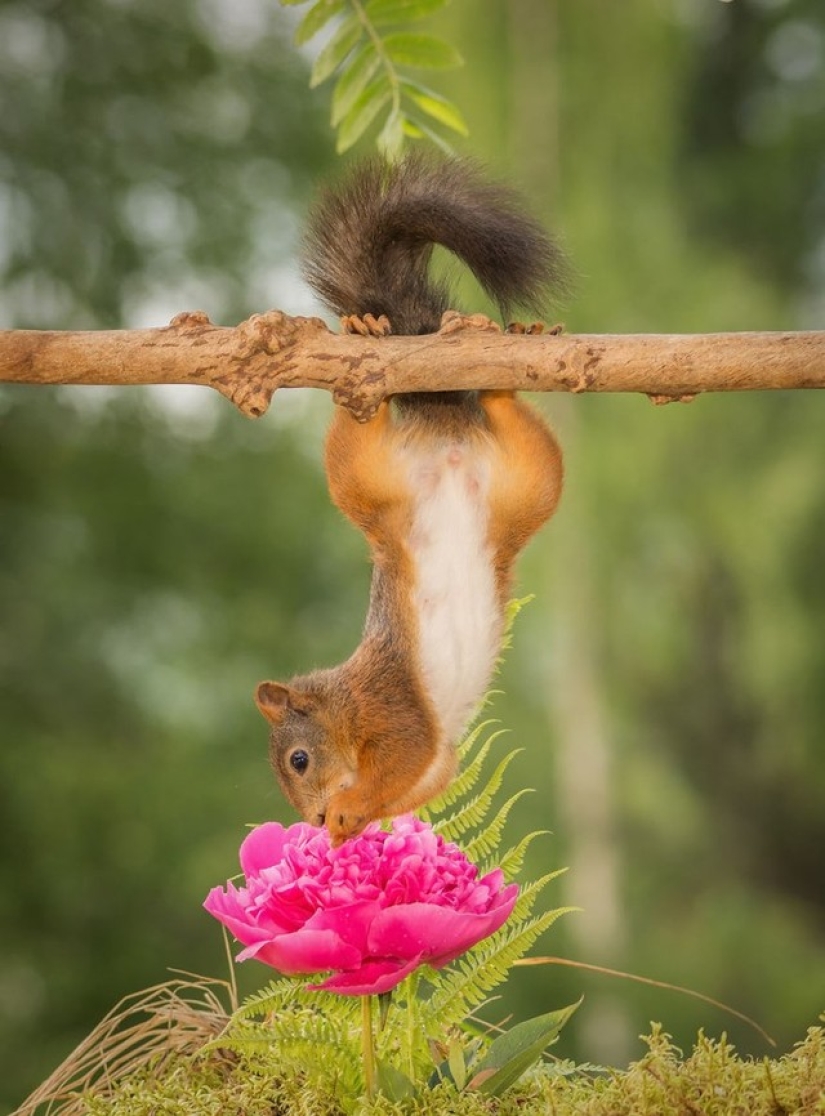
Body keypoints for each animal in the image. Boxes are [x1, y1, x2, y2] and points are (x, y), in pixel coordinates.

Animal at [255, 153, 567, 845]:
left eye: (299, 758)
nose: (312, 819)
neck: (344, 702)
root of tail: (442, 427)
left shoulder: (392, 709)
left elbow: (402, 754)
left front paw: (347, 809)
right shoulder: (436, 765)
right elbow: (414, 784)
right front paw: (348, 824)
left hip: (372, 479)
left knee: (357, 426)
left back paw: (373, 346)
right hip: (525, 482)